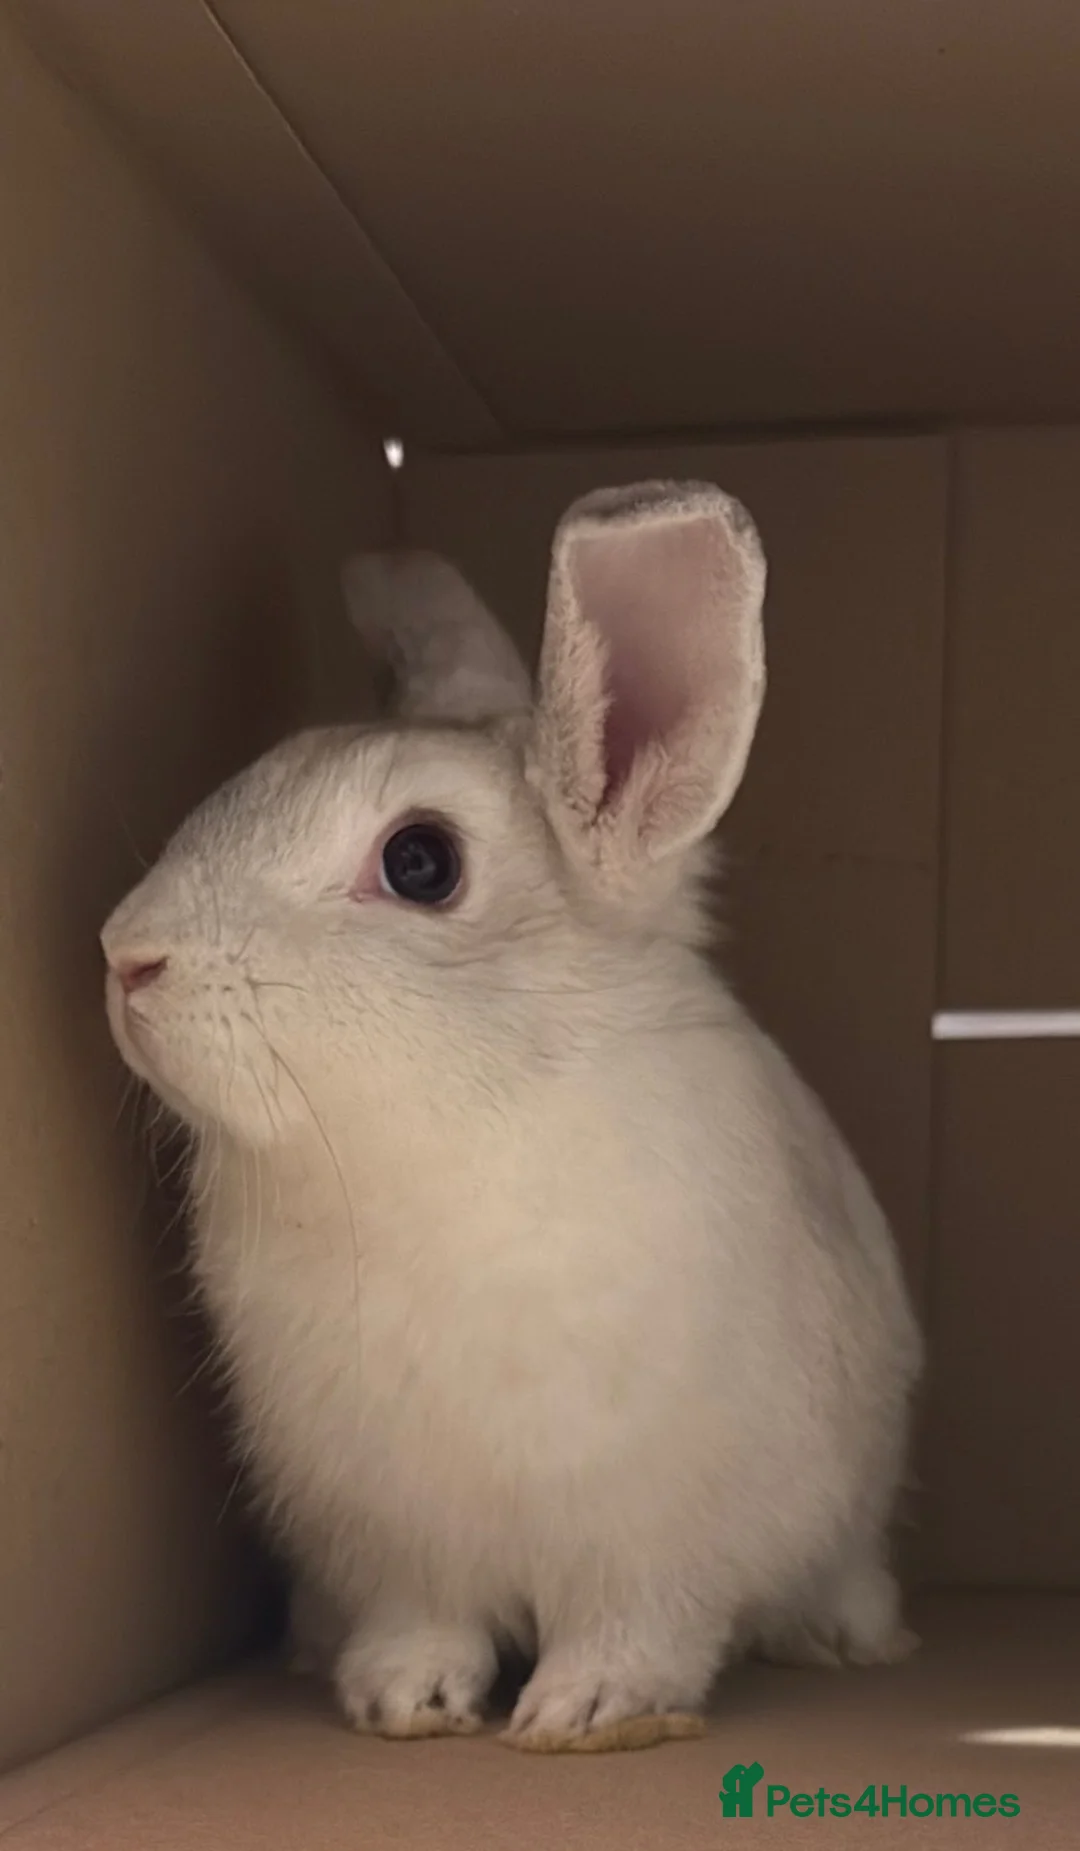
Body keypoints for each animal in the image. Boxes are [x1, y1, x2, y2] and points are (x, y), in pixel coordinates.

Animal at [101, 481, 922, 1754]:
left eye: (421, 862)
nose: (126, 957)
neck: (444, 1142)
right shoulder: (394, 1540)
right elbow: (425, 1624)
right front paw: (399, 1702)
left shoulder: (660, 1537)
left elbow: (640, 1625)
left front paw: (587, 1713)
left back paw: (847, 1640)